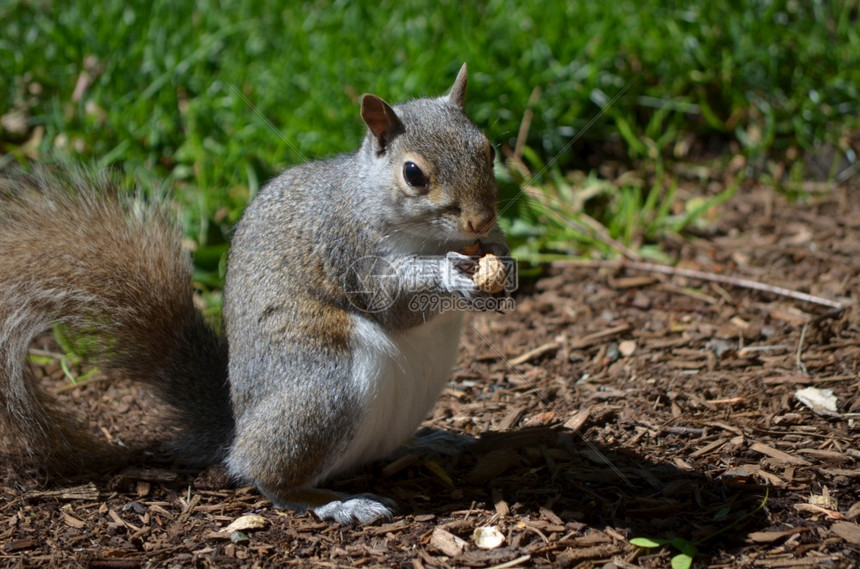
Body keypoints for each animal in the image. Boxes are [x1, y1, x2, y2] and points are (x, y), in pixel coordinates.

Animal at [0, 65, 510, 524]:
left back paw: (429, 442)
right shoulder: (346, 248)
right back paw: (336, 502)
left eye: (487, 149)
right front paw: (449, 275)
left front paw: (500, 263)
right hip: (323, 391)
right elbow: (391, 302)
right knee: (266, 477)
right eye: (413, 174)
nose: (481, 220)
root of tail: (236, 431)